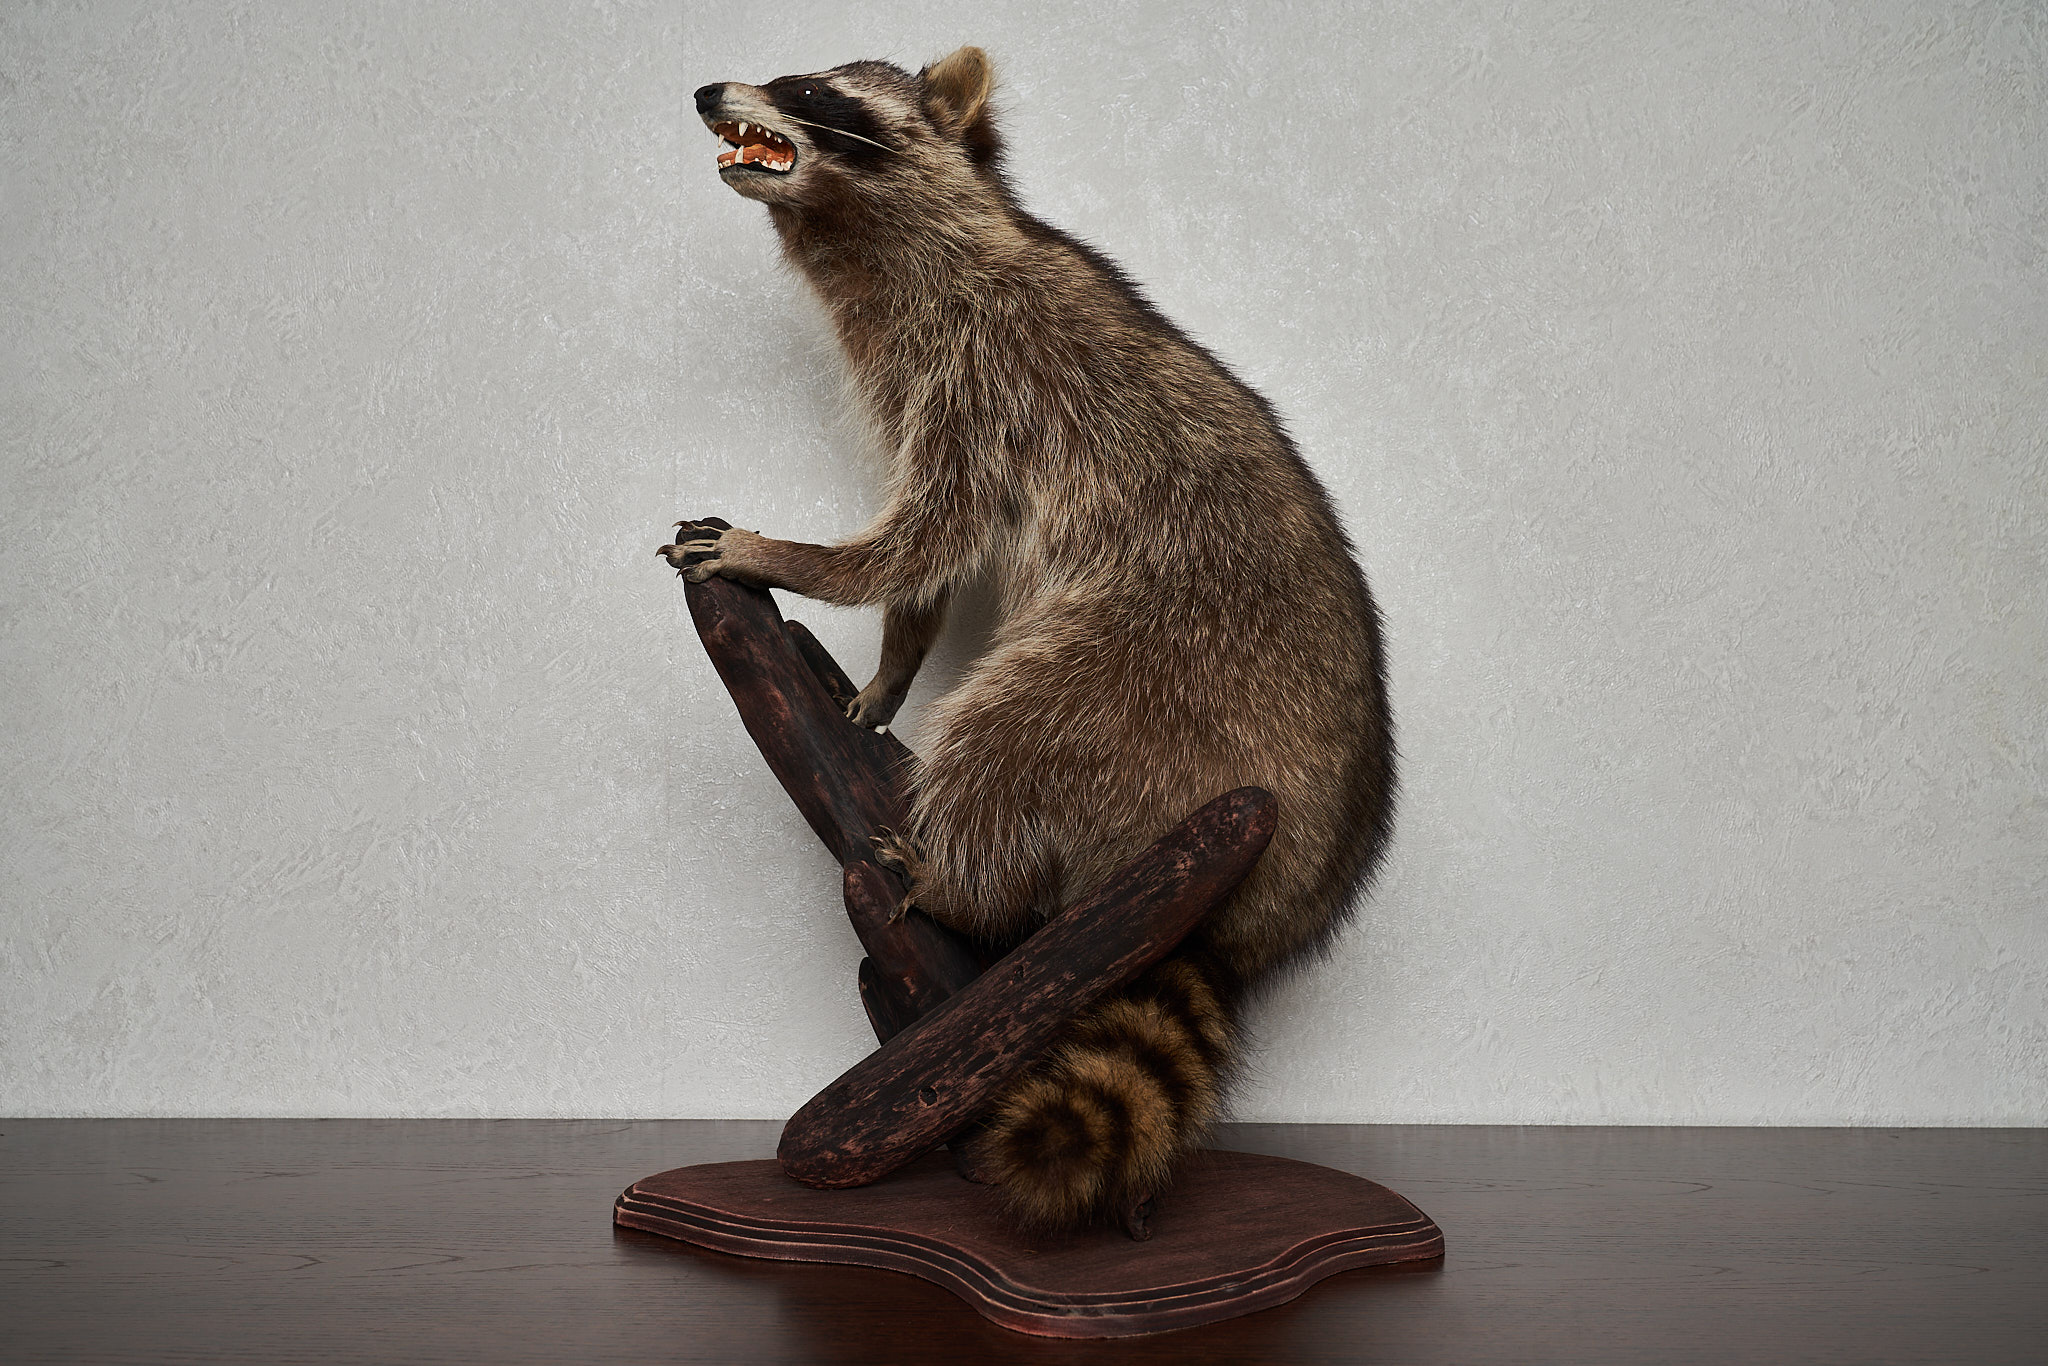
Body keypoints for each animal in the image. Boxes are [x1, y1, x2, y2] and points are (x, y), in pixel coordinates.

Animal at [664, 48, 1395, 1231]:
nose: (704, 92)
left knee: (1009, 729)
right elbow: (935, 566)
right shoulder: (918, 379)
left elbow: (921, 536)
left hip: (1151, 676)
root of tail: (1274, 905)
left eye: (807, 89)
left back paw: (959, 879)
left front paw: (787, 557)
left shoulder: (982, 373)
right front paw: (891, 666)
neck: (881, 239)